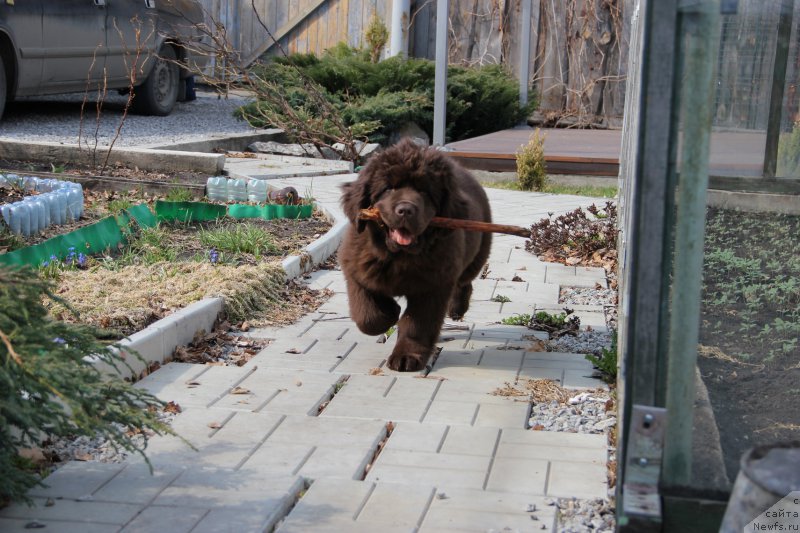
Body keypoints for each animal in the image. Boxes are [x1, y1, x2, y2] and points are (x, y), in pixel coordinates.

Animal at [340, 138, 494, 370]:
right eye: (389, 188)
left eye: (425, 192)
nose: (405, 210)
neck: (399, 256)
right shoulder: (356, 268)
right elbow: (367, 315)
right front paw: (390, 313)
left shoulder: (433, 286)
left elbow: (417, 324)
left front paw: (407, 356)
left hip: (477, 254)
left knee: (464, 282)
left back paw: (457, 309)